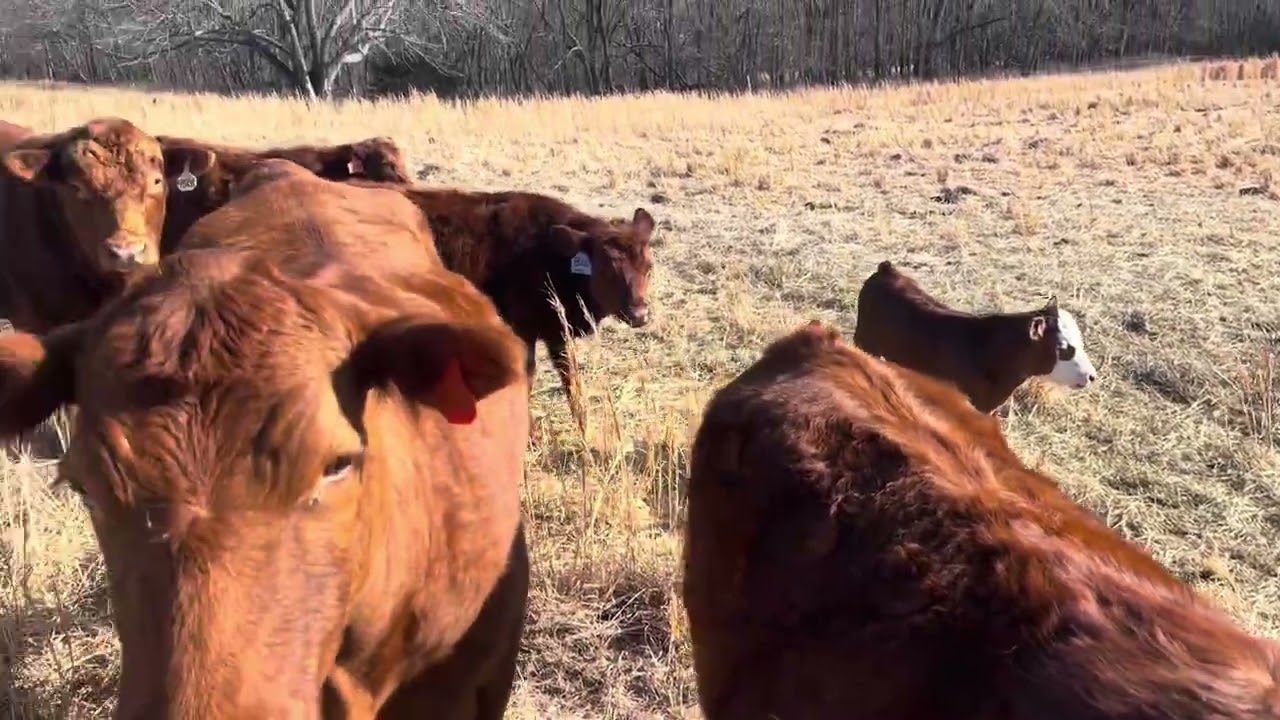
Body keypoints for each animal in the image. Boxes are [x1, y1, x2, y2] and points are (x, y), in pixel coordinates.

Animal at [347, 181, 655, 428]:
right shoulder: (522, 330)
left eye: (648, 267)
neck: (548, 254)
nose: (639, 314)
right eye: (606, 270)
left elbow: (570, 378)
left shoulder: (555, 330)